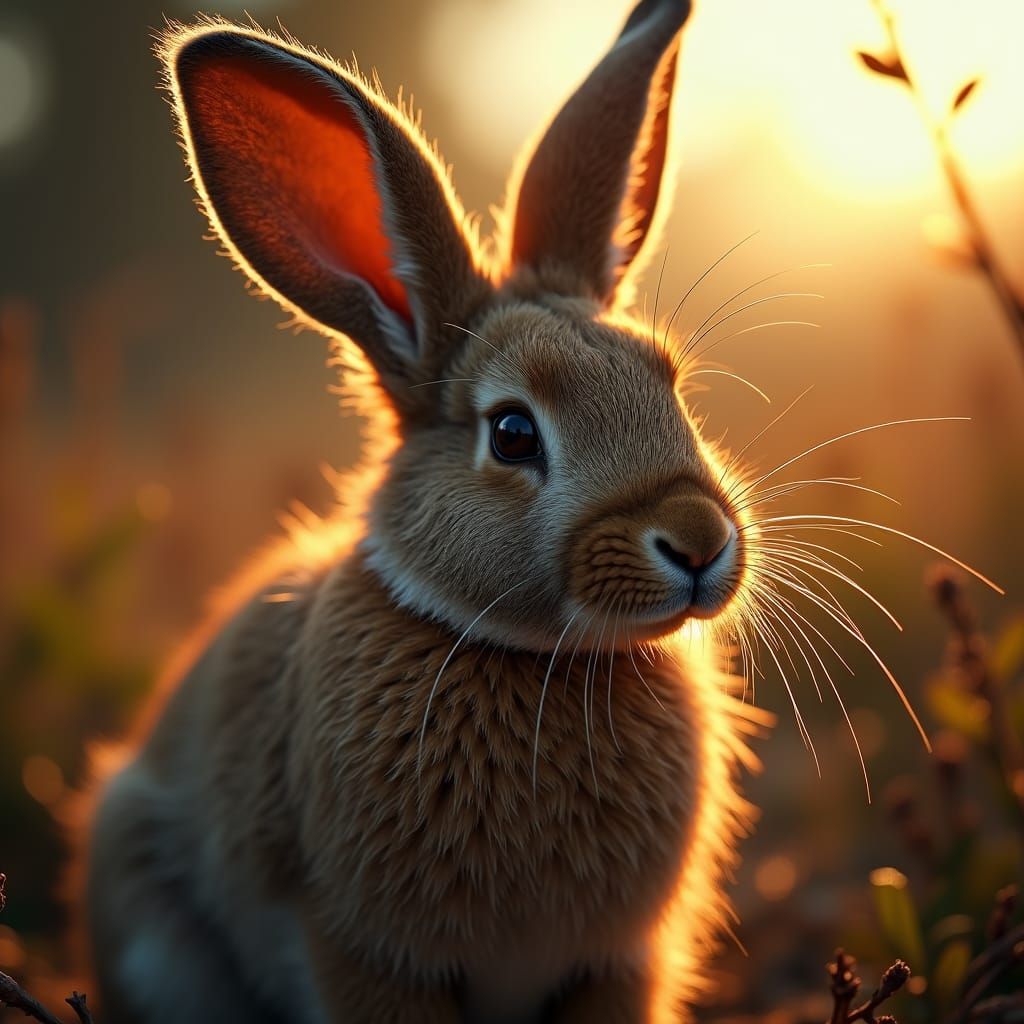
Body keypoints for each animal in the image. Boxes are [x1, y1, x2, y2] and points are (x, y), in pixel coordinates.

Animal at [82, 1, 771, 1021]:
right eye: (514, 433)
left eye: (668, 382)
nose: (698, 541)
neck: (534, 657)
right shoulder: (362, 953)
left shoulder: (617, 963)